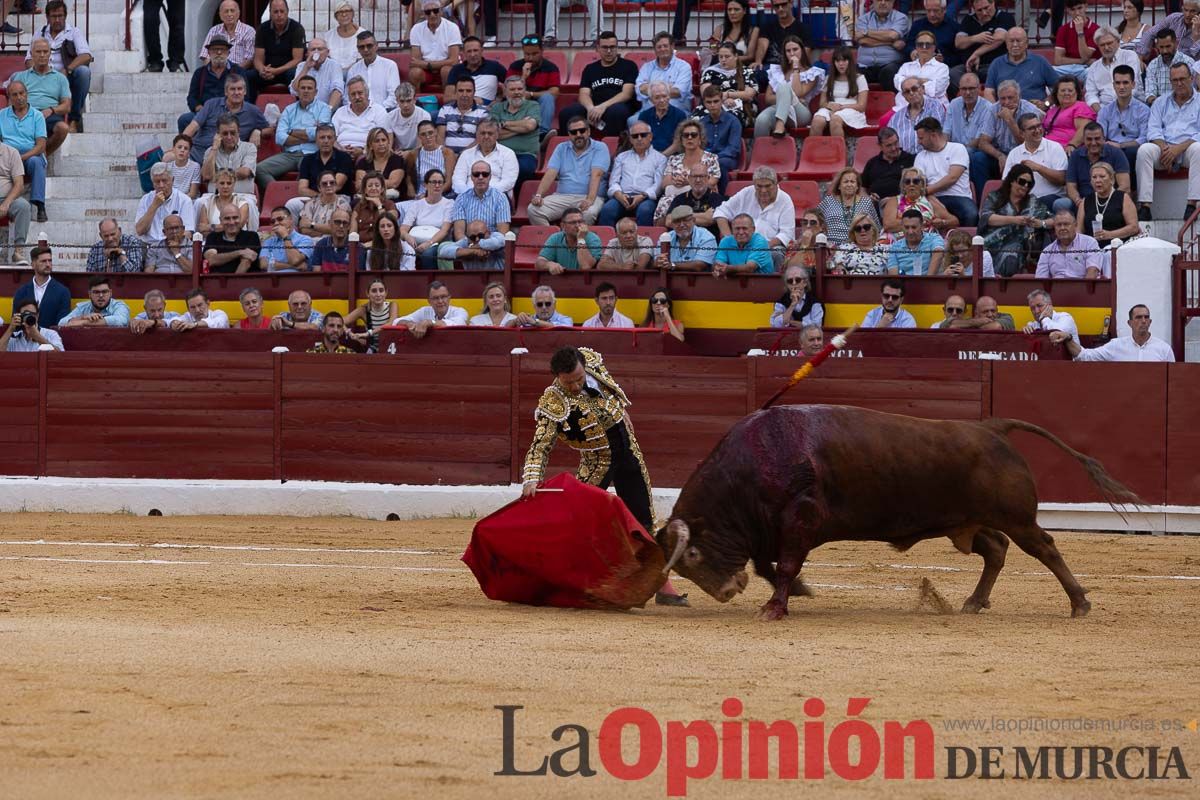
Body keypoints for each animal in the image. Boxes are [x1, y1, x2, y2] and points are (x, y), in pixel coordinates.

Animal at [662, 407, 1137, 618]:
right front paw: (796, 593)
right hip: (964, 523)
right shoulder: (769, 529)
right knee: (996, 550)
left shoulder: (799, 520)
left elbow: (784, 565)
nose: (726, 591)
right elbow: (769, 565)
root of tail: (991, 427)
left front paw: (775, 607)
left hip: (1017, 518)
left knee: (1045, 548)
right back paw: (973, 602)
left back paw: (1079, 603)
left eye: (693, 555)